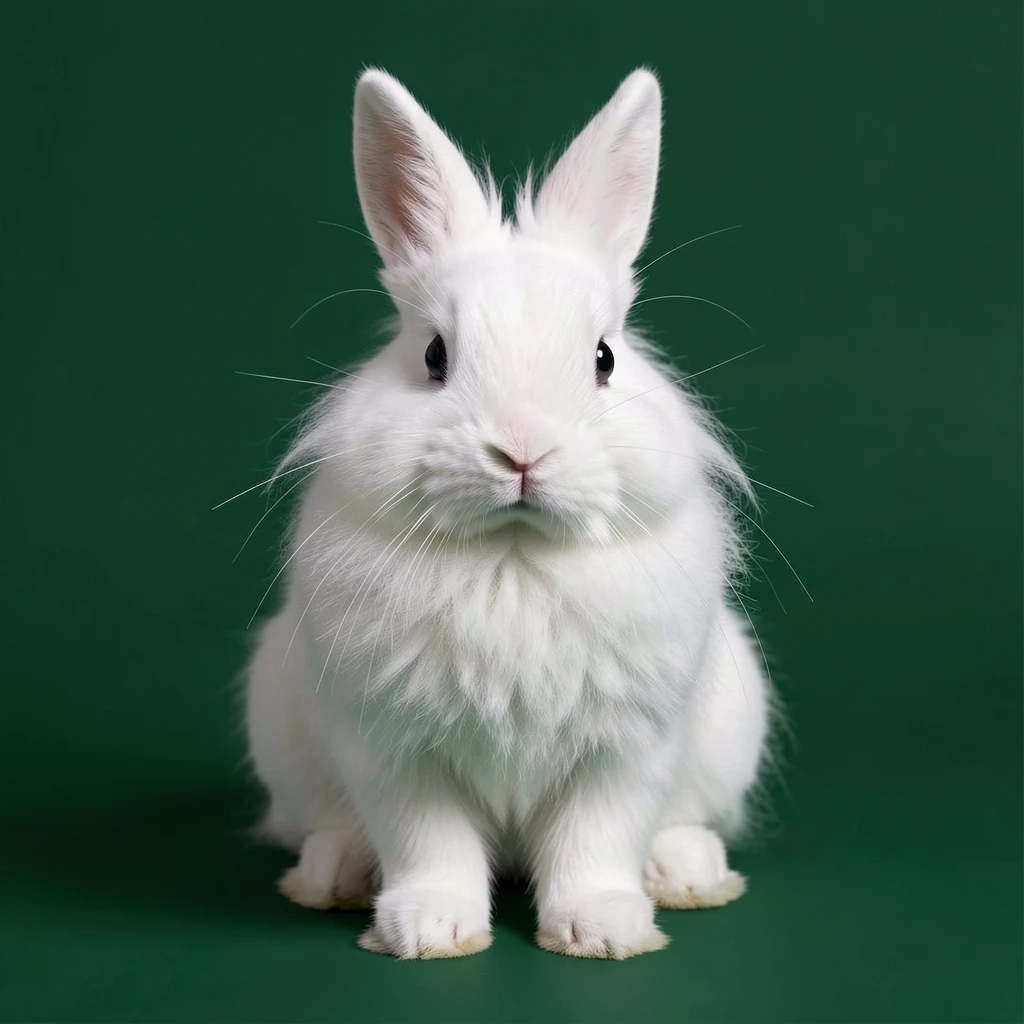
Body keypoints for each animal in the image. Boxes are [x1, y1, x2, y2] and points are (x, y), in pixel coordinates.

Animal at [244, 66, 770, 960]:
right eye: (433, 356)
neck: (513, 558)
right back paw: (334, 874)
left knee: (683, 820)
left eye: (604, 358)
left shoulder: (629, 746)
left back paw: (687, 872)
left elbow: (599, 836)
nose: (523, 452)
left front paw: (602, 929)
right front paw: (429, 929)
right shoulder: (396, 748)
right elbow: (429, 841)